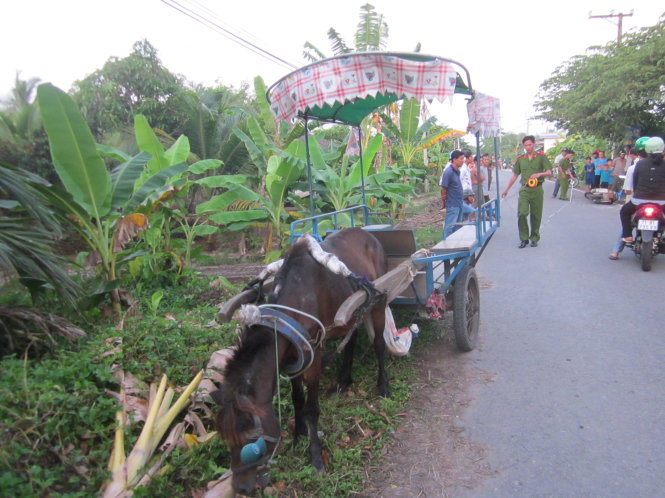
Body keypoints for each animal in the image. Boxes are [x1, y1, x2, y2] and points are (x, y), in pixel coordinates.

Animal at [213, 229, 390, 494]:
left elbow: (311, 408)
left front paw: (315, 456)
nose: (241, 489)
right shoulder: (291, 360)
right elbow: (297, 400)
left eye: (252, 444)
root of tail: (369, 233)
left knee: (378, 343)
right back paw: (343, 381)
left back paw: (383, 386)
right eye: (226, 440)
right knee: (352, 338)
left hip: (378, 301)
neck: (288, 311)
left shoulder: (314, 356)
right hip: (349, 314)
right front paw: (298, 436)